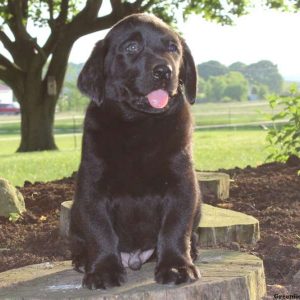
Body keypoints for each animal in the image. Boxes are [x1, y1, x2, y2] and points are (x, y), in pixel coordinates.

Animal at [70, 12, 202, 290]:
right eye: (131, 47)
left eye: (173, 48)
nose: (164, 71)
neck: (139, 124)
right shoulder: (92, 188)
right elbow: (100, 231)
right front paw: (103, 270)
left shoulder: (182, 184)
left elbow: (175, 228)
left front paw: (176, 266)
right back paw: (83, 260)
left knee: (190, 235)